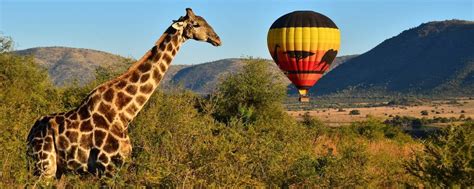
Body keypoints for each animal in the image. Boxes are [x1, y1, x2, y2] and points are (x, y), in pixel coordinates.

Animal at [24, 7, 220, 179]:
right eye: (196, 24)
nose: (217, 39)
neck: (123, 113)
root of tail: (30, 133)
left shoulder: (119, 165)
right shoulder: (107, 167)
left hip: (60, 170)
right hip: (43, 166)